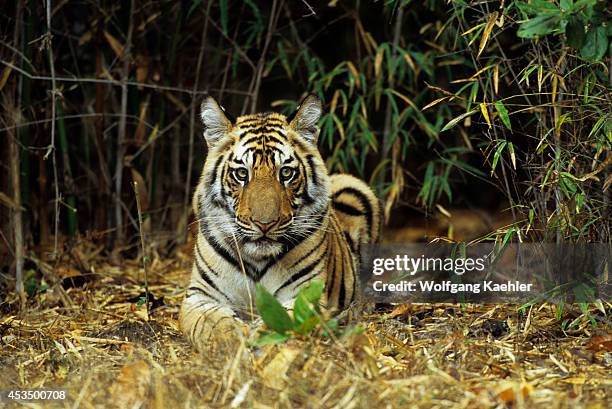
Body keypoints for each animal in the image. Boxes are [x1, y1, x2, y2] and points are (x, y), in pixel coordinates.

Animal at [179, 95, 380, 348]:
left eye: (285, 173)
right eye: (242, 174)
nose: (265, 224)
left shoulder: (306, 293)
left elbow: (282, 320)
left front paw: (259, 337)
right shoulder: (200, 294)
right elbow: (213, 324)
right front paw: (232, 340)